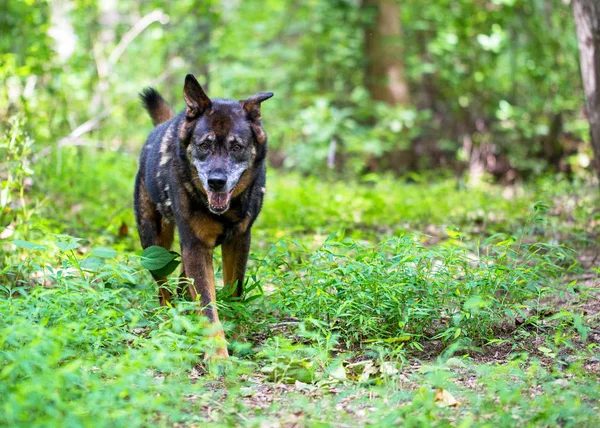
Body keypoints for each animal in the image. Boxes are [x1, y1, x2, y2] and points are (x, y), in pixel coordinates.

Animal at [135, 73, 274, 358]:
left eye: (237, 147)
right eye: (204, 145)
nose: (216, 182)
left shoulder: (239, 241)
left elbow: (234, 291)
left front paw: (237, 334)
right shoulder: (196, 246)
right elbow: (208, 307)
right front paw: (218, 357)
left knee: (181, 281)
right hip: (154, 244)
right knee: (163, 288)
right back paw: (169, 319)